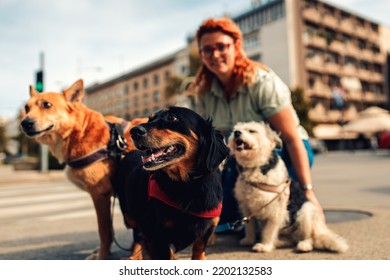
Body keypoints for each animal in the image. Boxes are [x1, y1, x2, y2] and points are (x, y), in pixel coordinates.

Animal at [19, 80, 146, 260]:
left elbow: (104, 231)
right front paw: (103, 252)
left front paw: (102, 255)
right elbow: (110, 229)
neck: (79, 132)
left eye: (47, 105)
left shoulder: (100, 194)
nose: (25, 123)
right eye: (26, 107)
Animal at [114, 106, 229, 260]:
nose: (134, 131)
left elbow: (198, 251)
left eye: (172, 117)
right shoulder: (157, 236)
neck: (187, 184)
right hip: (129, 215)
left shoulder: (207, 229)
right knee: (137, 234)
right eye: (150, 119)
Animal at [229, 121, 348, 253]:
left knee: (308, 237)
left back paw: (304, 245)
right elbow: (249, 226)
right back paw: (280, 242)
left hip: (305, 211)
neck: (256, 169)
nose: (236, 133)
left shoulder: (276, 210)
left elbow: (269, 230)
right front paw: (249, 240)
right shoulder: (246, 207)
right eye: (235, 129)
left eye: (252, 131)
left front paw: (265, 245)